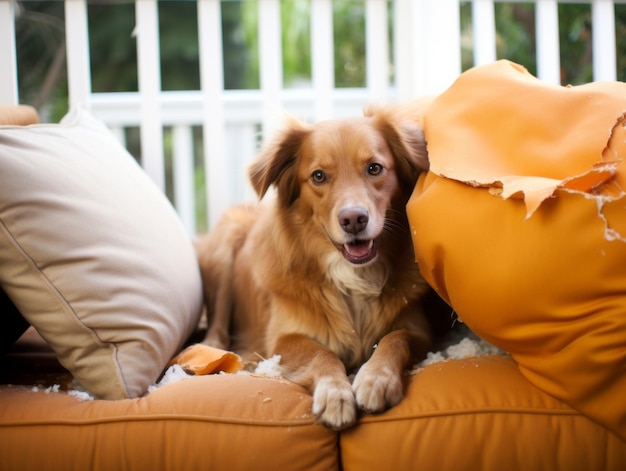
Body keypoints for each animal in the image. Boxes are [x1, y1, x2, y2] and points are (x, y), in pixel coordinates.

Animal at [196, 102, 434, 432]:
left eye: (374, 168)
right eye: (319, 176)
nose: (353, 219)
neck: (351, 276)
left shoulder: (418, 330)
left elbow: (394, 339)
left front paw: (376, 379)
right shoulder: (283, 340)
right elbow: (321, 353)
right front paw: (335, 394)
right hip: (226, 242)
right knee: (216, 326)